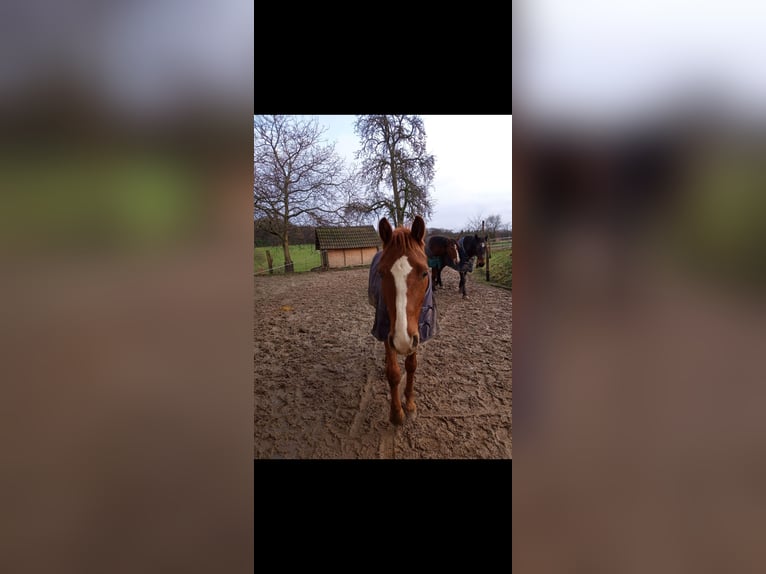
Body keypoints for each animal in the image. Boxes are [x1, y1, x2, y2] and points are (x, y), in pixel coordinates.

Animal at [370, 216, 440, 428]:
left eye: (425, 273)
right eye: (381, 273)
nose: (402, 340)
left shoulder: (418, 332)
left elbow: (411, 366)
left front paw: (409, 405)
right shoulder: (388, 332)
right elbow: (393, 373)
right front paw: (396, 414)